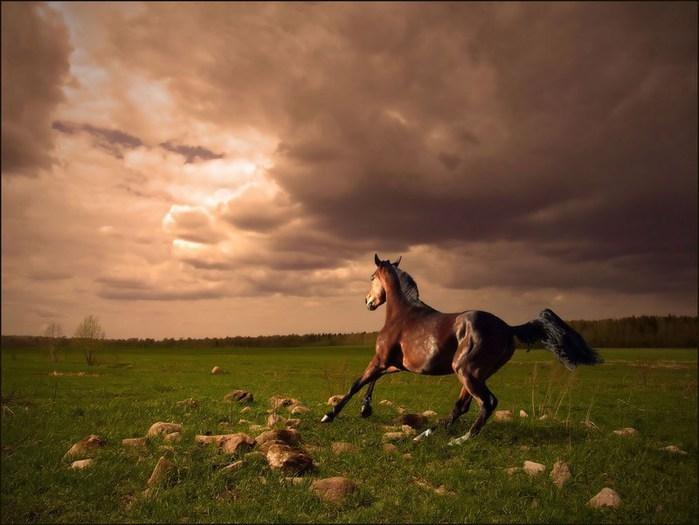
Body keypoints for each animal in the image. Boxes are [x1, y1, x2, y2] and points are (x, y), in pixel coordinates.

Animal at [322, 254, 600, 442]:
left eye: (371, 278)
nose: (367, 301)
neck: (402, 315)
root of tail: (508, 328)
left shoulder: (381, 359)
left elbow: (356, 383)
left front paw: (330, 415)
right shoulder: (395, 364)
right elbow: (371, 381)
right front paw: (365, 408)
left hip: (467, 371)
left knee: (487, 403)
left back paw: (460, 439)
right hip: (473, 374)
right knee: (462, 406)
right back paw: (427, 433)